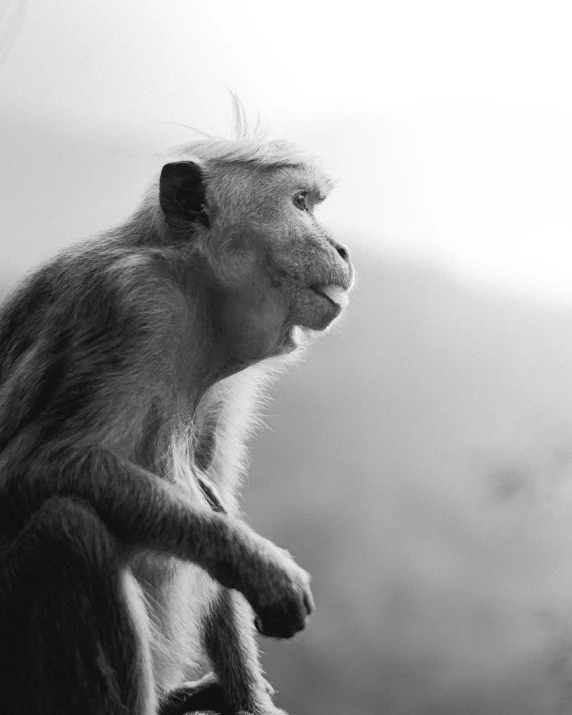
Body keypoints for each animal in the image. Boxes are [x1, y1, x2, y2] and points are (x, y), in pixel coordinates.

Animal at [0, 124, 354, 715]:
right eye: (301, 203)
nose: (343, 248)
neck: (190, 284)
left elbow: (209, 486)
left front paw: (249, 698)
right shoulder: (132, 305)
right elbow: (33, 463)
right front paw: (259, 565)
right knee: (68, 529)